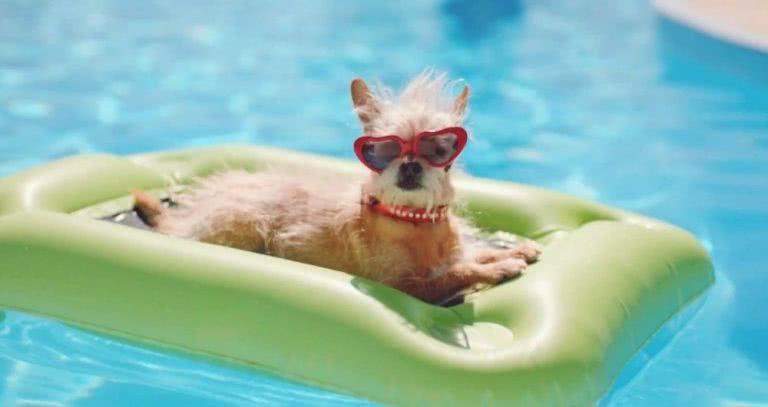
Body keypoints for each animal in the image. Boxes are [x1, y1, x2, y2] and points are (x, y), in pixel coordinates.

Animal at [134, 71, 540, 304]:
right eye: (382, 149)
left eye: (440, 150)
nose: (409, 165)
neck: (414, 221)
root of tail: (188, 219)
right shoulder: (406, 288)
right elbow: (456, 274)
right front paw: (499, 267)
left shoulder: (447, 256)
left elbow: (469, 256)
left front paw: (511, 250)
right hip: (242, 225)